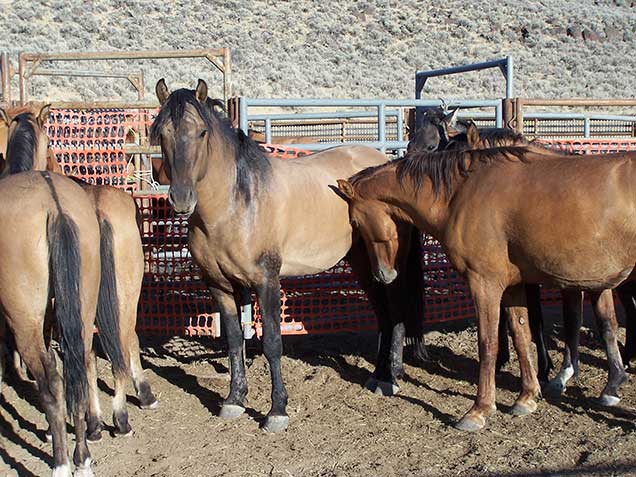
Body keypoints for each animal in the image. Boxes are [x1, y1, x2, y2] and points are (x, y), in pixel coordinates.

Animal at [336, 143, 632, 430]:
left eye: (354, 223)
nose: (383, 274)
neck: (462, 193)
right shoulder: (513, 286)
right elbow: (521, 335)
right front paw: (526, 397)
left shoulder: (484, 283)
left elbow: (487, 343)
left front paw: (479, 409)